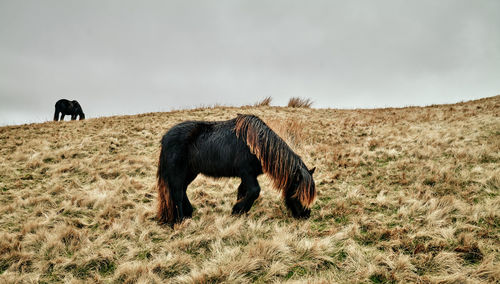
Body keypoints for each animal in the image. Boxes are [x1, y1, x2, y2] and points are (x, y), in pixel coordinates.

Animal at [156, 113, 316, 226]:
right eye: (298, 193)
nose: (306, 215)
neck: (257, 145)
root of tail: (165, 138)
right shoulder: (247, 174)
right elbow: (254, 191)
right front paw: (237, 210)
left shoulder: (248, 176)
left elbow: (242, 192)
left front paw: (240, 213)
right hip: (178, 172)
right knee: (177, 192)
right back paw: (181, 220)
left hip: (190, 172)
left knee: (182, 190)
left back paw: (189, 213)